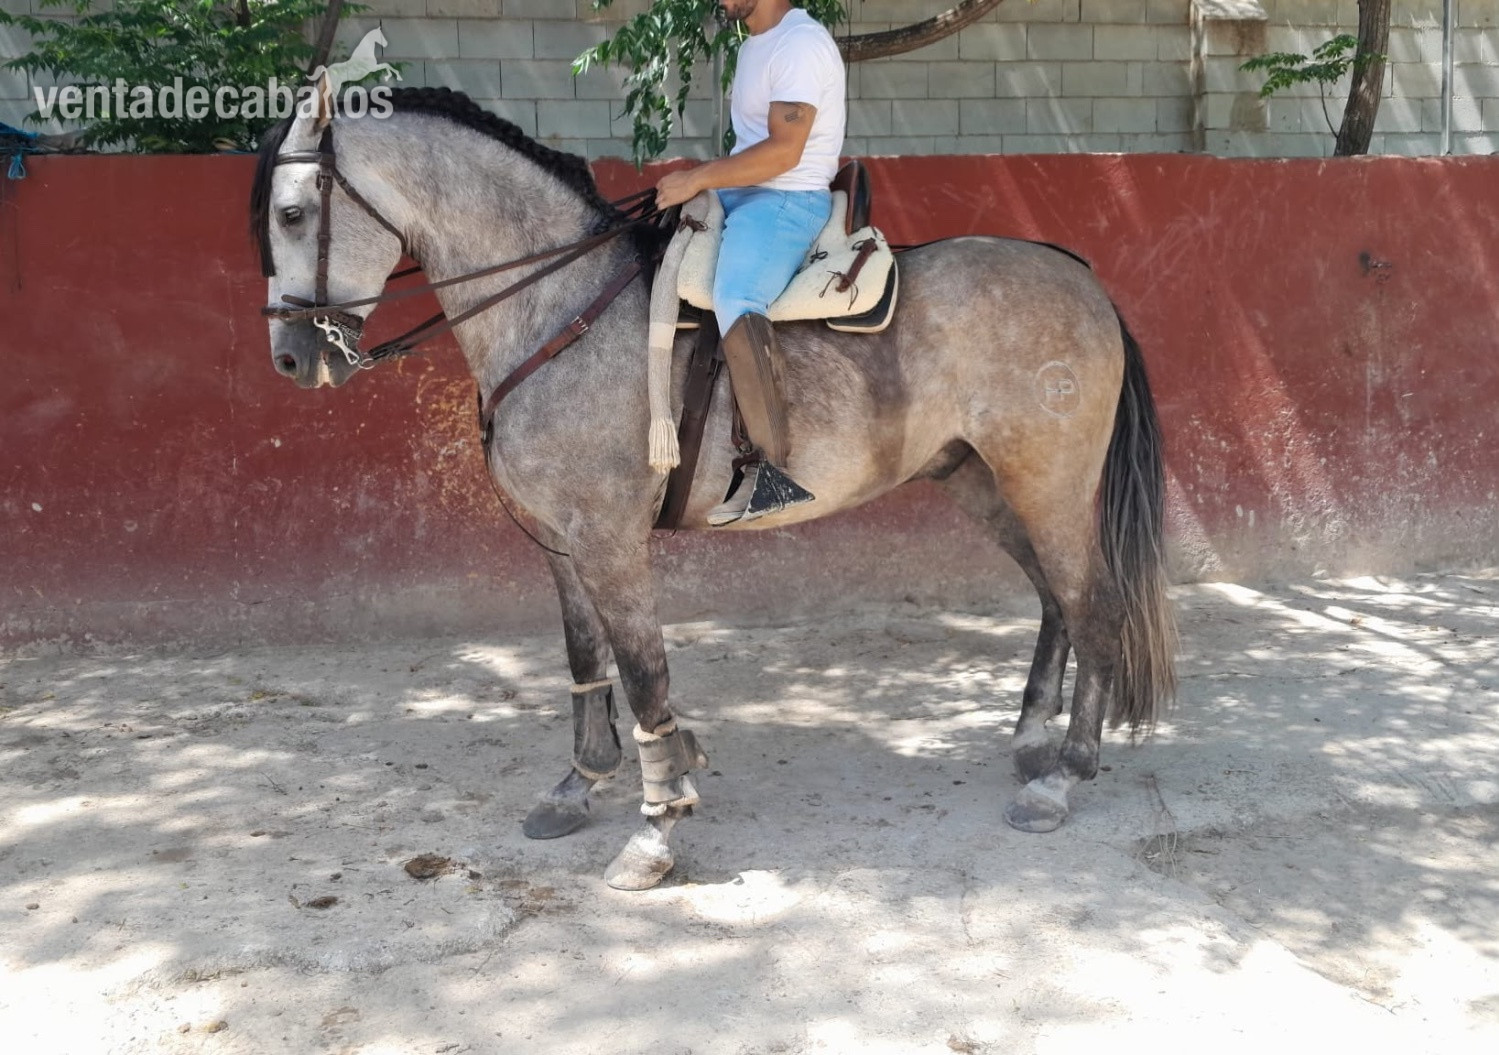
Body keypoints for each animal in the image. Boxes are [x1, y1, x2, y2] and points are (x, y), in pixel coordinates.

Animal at [250, 86, 1177, 891]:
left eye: (293, 214)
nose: (293, 358)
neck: (558, 310)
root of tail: (1081, 279)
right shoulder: (560, 544)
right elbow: (585, 660)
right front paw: (579, 783)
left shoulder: (610, 542)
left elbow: (643, 673)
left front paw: (656, 827)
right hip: (982, 479)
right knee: (1054, 597)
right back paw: (1030, 741)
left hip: (1047, 481)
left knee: (1092, 604)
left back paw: (1061, 778)